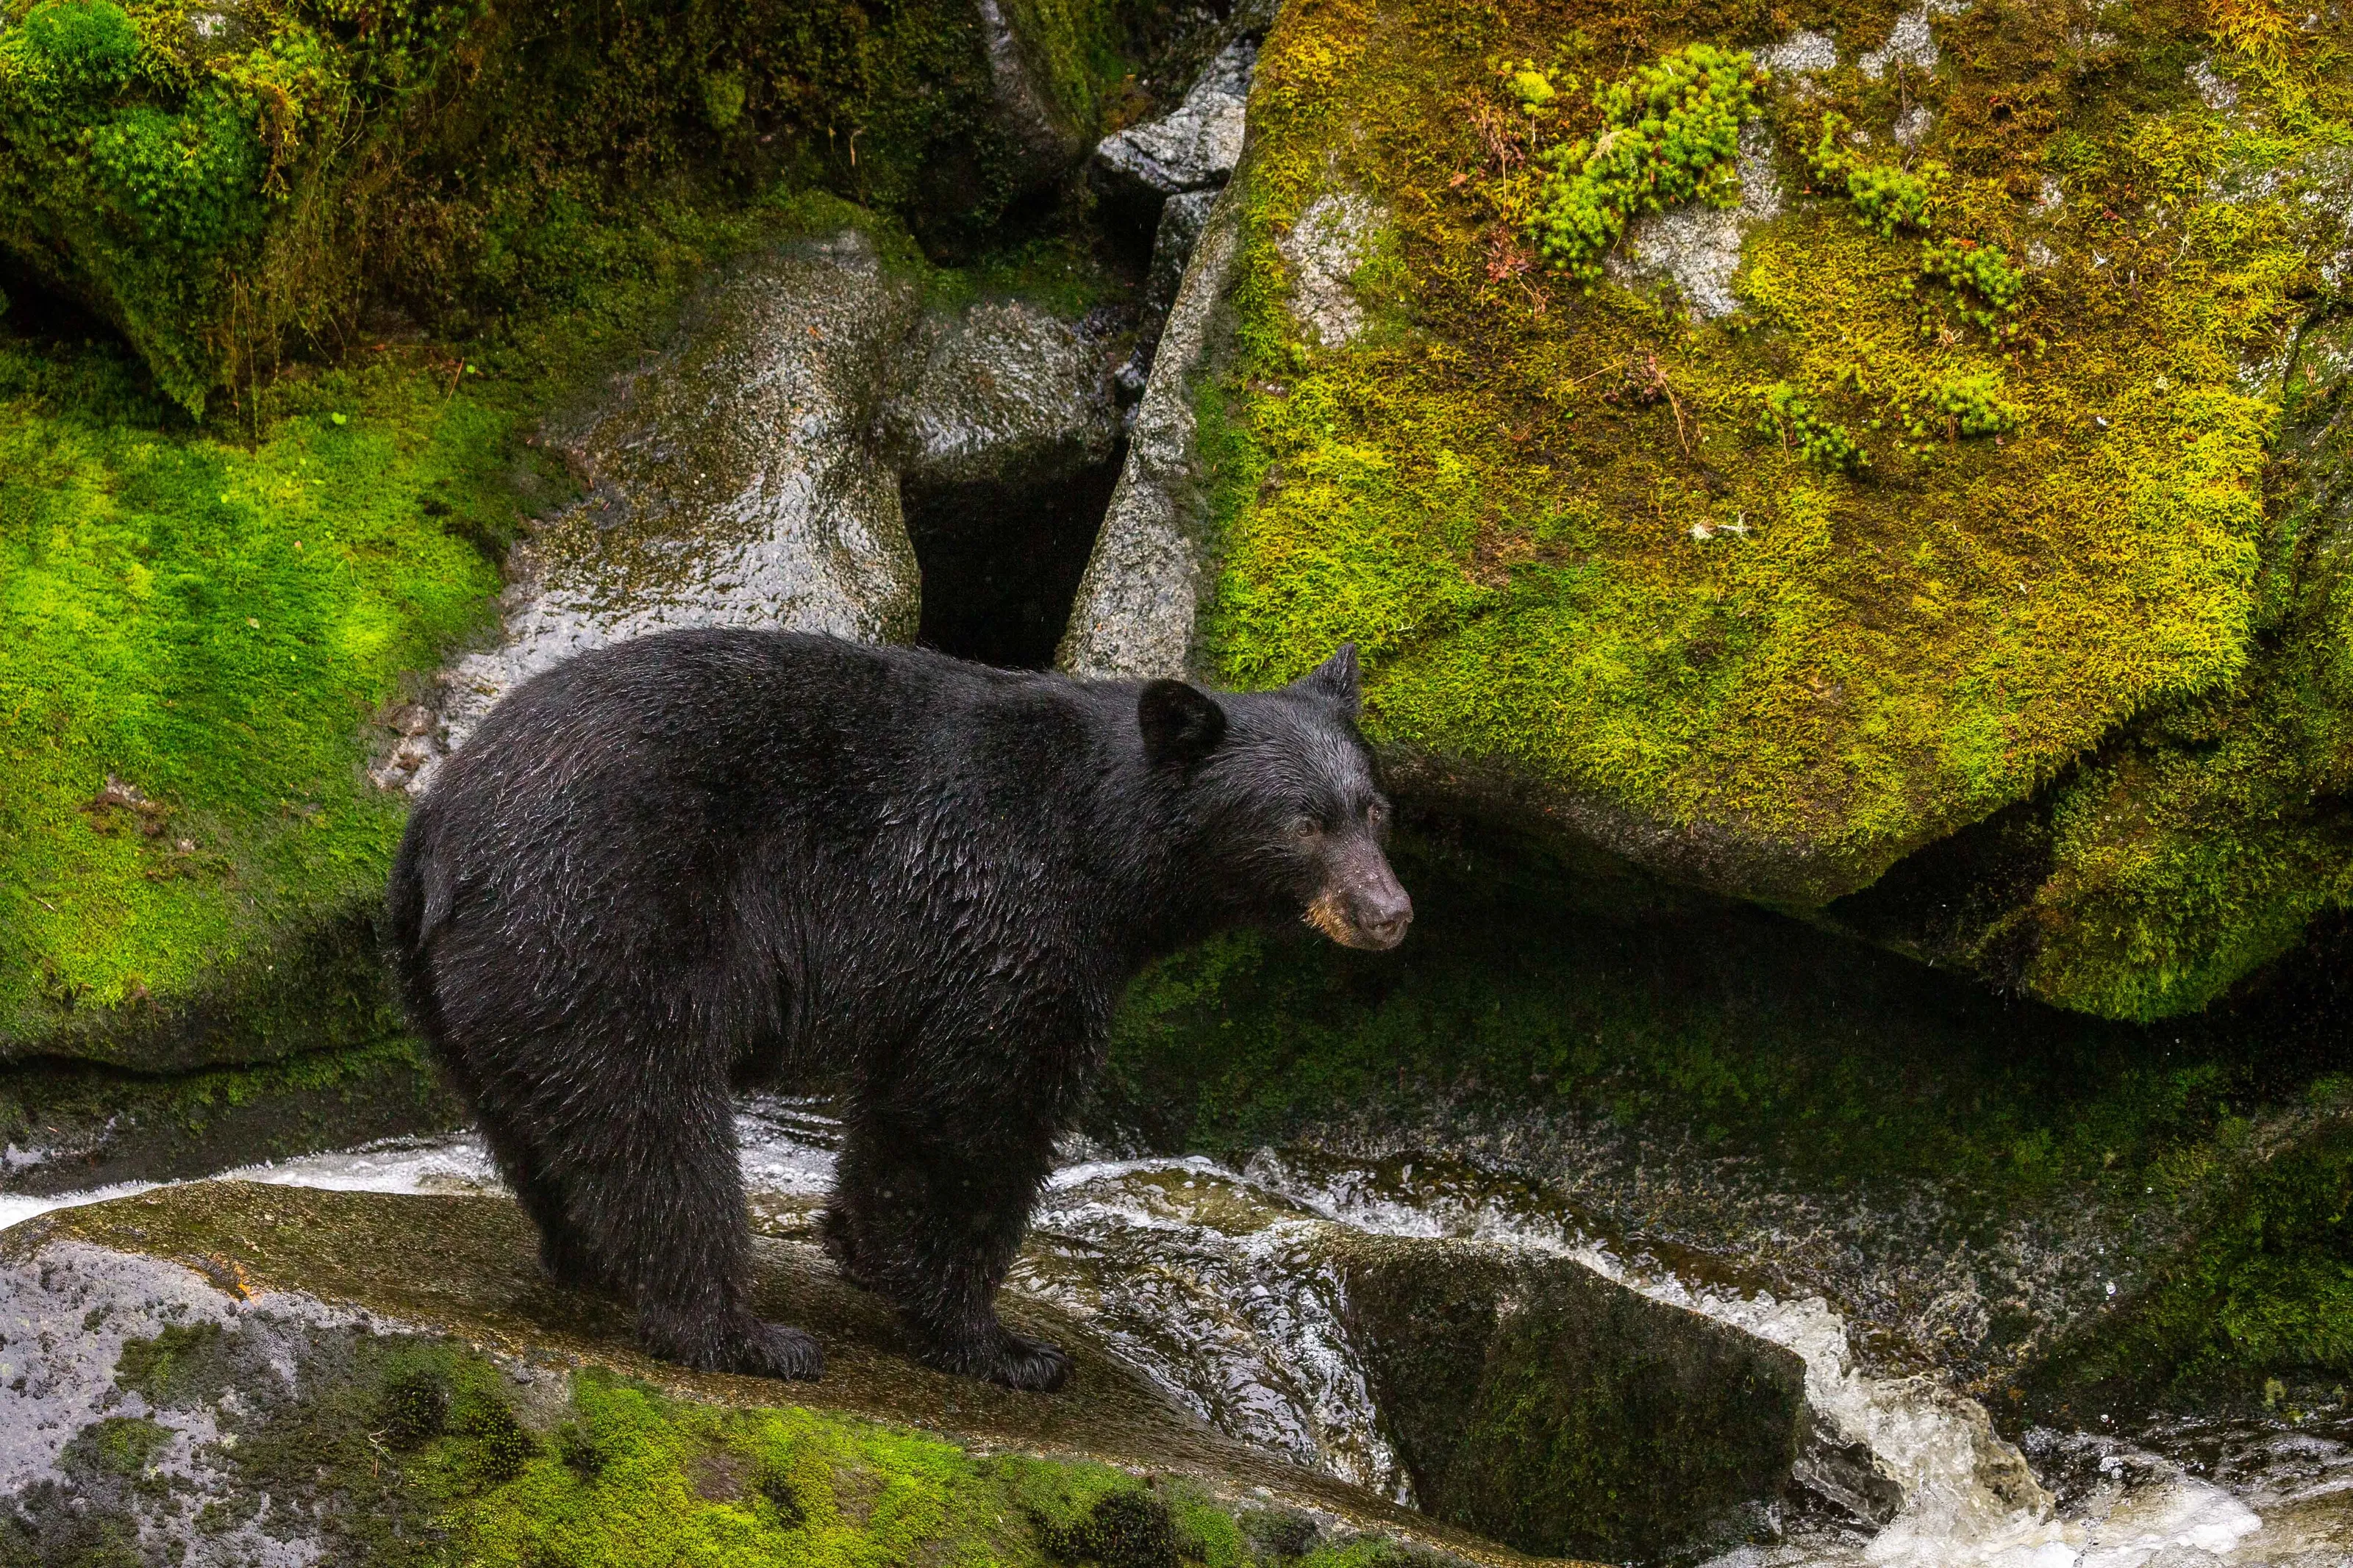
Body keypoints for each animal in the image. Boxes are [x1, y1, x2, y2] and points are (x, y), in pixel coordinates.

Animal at [386, 628, 1411, 1391]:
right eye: (1302, 822)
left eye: (1374, 808)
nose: (1389, 912)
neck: (1101, 845)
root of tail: (439, 827)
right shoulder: (1008, 913)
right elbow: (977, 1108)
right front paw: (999, 1344)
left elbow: (911, 1105)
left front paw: (875, 1260)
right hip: (603, 920)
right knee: (652, 1124)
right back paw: (739, 1334)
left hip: (469, 988)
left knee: (536, 1120)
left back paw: (591, 1261)